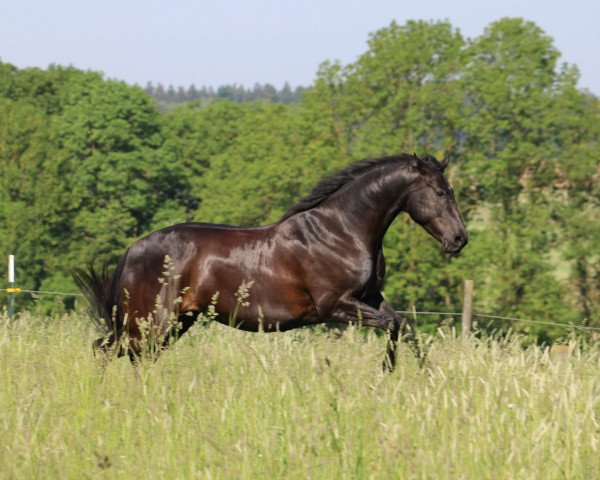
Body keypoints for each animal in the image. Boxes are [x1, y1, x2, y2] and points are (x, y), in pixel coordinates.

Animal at [72, 152, 468, 370]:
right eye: (439, 192)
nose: (459, 239)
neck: (342, 230)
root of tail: (133, 250)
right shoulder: (336, 306)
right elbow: (391, 325)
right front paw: (386, 372)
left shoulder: (370, 297)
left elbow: (403, 327)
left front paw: (417, 375)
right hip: (151, 321)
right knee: (108, 351)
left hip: (175, 322)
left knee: (127, 355)